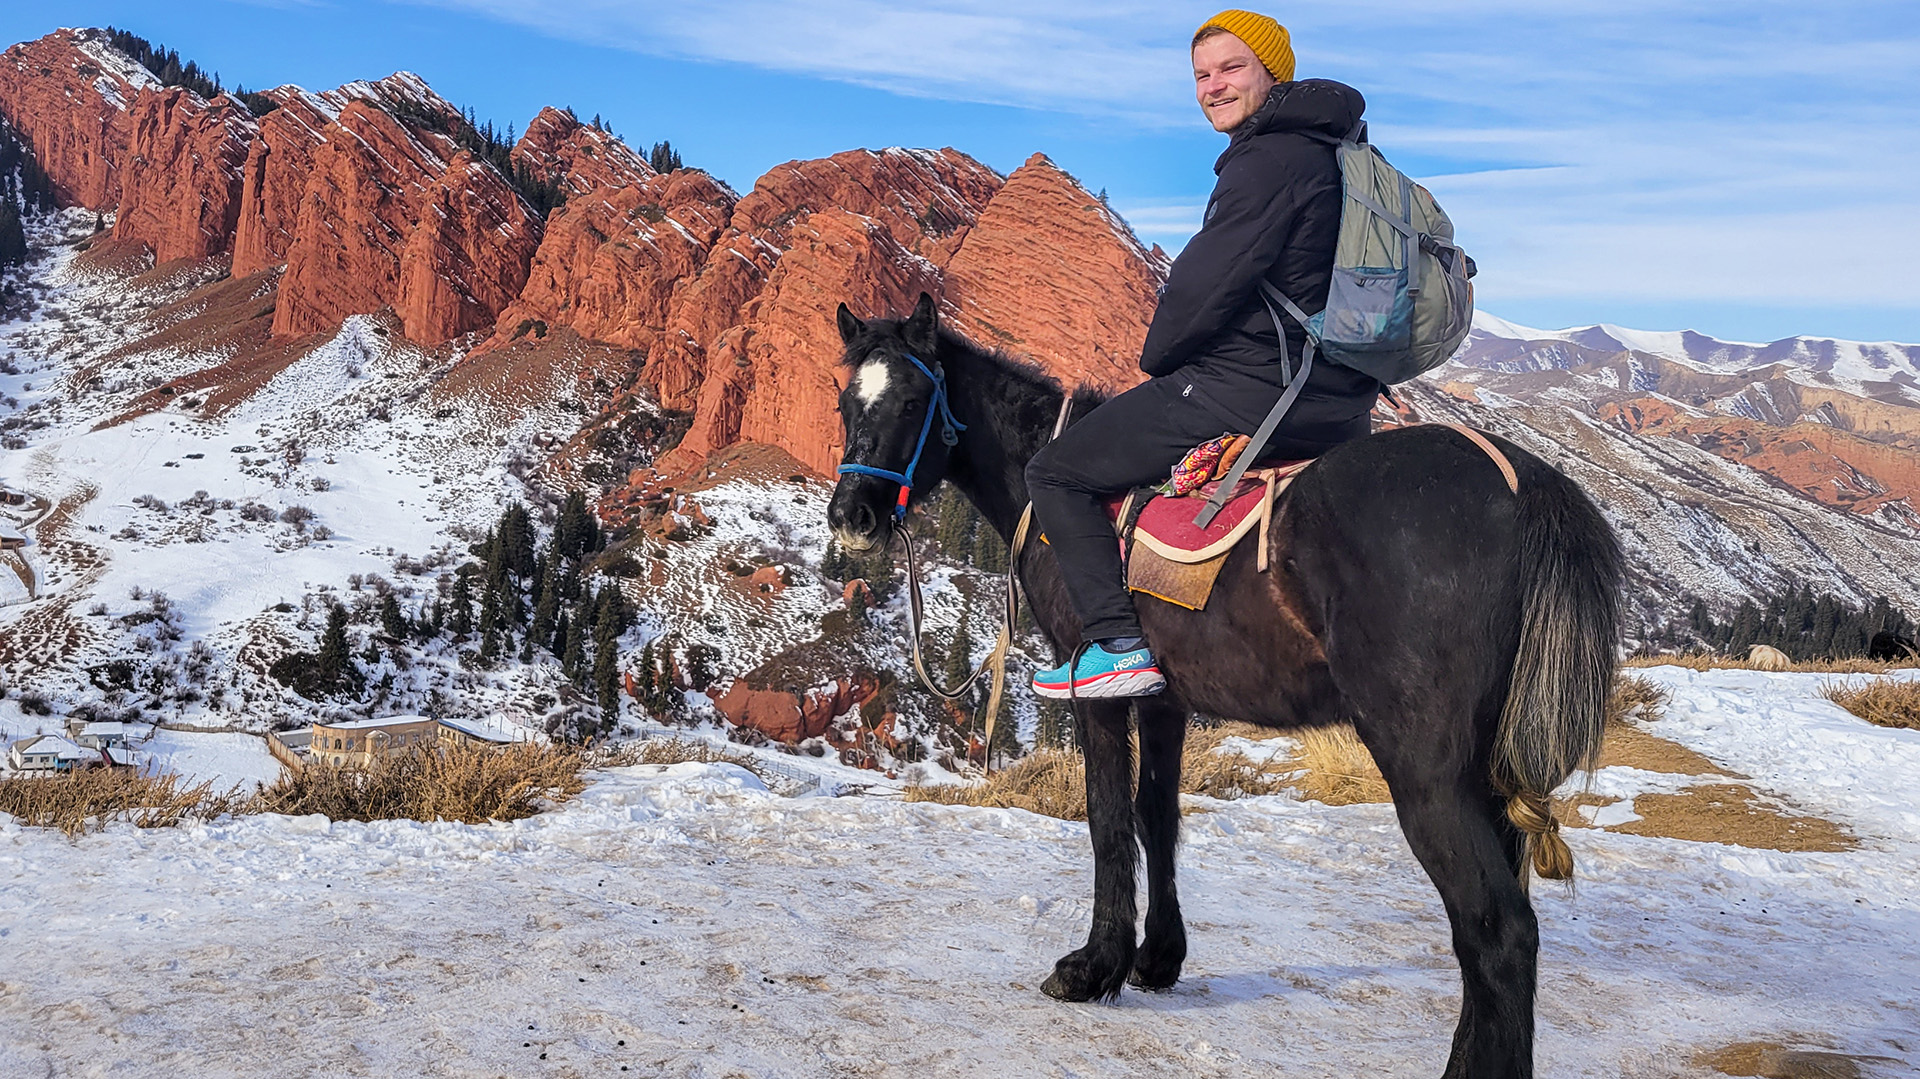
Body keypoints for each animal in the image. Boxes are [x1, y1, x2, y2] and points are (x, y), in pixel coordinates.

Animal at [826, 294, 1622, 1079]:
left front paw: (1093, 966)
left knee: (1497, 931)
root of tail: (1527, 486)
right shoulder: (1166, 699)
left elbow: (1107, 817)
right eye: (844, 401)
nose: (851, 516)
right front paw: (1157, 957)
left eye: (912, 399)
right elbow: (1156, 814)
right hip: (1487, 766)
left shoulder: (1095, 691)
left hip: (1427, 767)